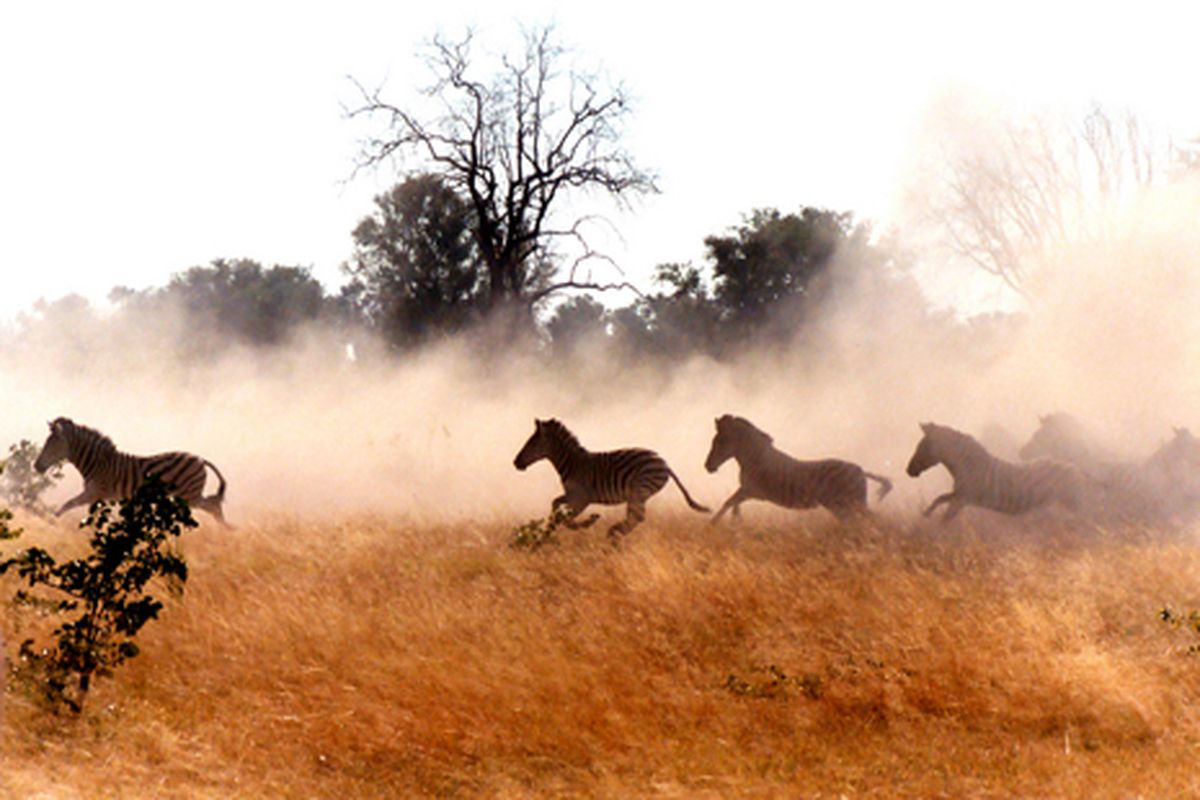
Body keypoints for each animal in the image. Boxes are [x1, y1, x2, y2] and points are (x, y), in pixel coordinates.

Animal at [34, 417, 230, 526]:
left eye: (51, 444)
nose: (36, 466)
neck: (98, 463)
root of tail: (200, 459)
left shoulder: (94, 492)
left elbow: (68, 504)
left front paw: (50, 520)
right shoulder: (99, 496)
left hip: (189, 496)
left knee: (213, 505)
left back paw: (228, 529)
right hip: (188, 496)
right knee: (213, 503)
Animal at [513, 418, 709, 539]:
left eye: (531, 443)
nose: (516, 463)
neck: (572, 463)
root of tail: (664, 462)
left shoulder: (582, 498)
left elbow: (566, 518)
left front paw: (587, 523)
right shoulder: (571, 495)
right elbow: (554, 505)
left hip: (639, 489)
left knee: (638, 517)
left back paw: (613, 532)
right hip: (638, 494)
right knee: (636, 517)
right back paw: (614, 533)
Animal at [704, 414, 892, 523]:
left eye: (720, 442)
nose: (708, 466)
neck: (755, 458)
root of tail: (861, 470)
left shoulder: (752, 490)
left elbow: (729, 502)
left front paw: (715, 523)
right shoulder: (750, 491)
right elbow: (732, 503)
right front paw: (734, 521)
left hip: (851, 503)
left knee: (869, 519)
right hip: (841, 505)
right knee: (855, 521)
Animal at [906, 421, 1091, 522]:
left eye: (923, 447)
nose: (908, 471)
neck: (966, 464)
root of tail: (1076, 470)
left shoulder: (963, 497)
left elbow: (944, 516)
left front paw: (938, 534)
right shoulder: (960, 494)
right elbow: (939, 499)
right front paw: (926, 514)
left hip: (1073, 503)